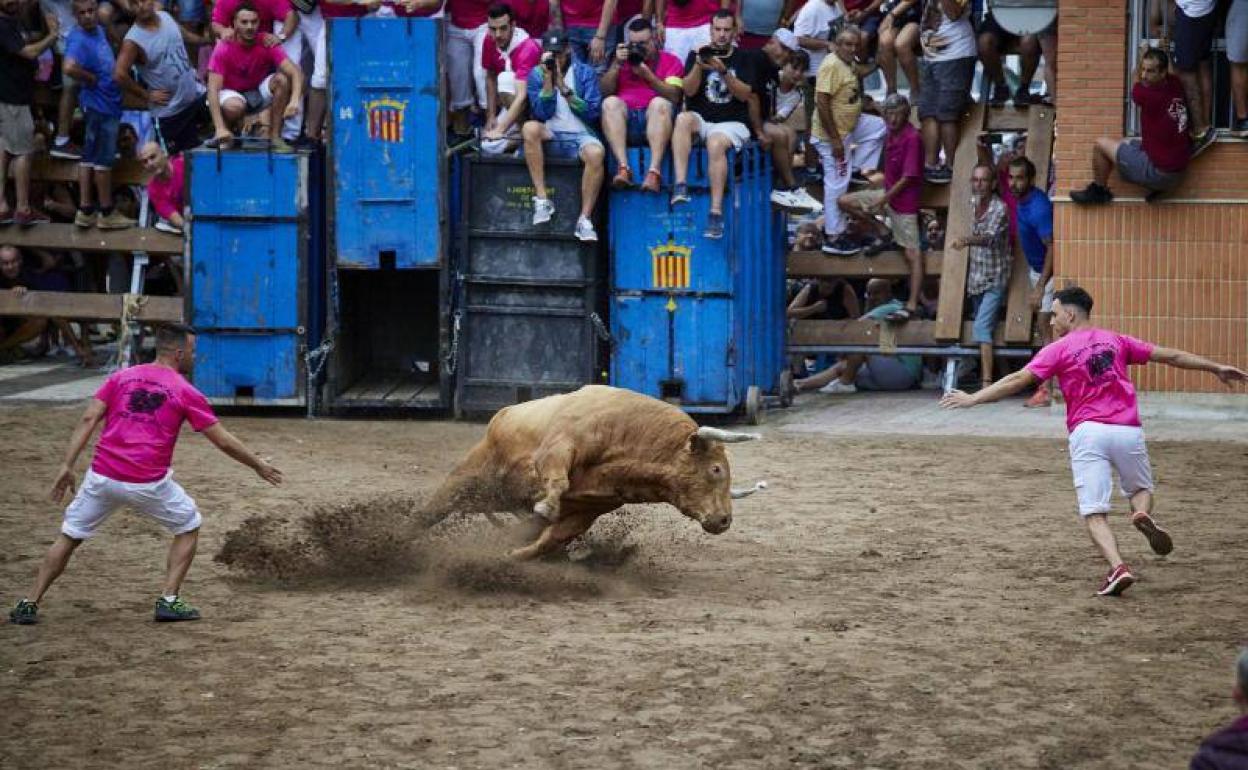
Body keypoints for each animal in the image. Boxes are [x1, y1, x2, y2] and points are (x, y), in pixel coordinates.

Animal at [424, 384, 763, 559]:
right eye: (716, 469)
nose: (724, 520)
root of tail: (502, 415)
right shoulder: (557, 448)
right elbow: (557, 481)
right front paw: (545, 507)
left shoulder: (588, 510)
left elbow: (551, 537)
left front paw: (512, 554)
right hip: (466, 480)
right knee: (428, 512)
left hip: (488, 496)